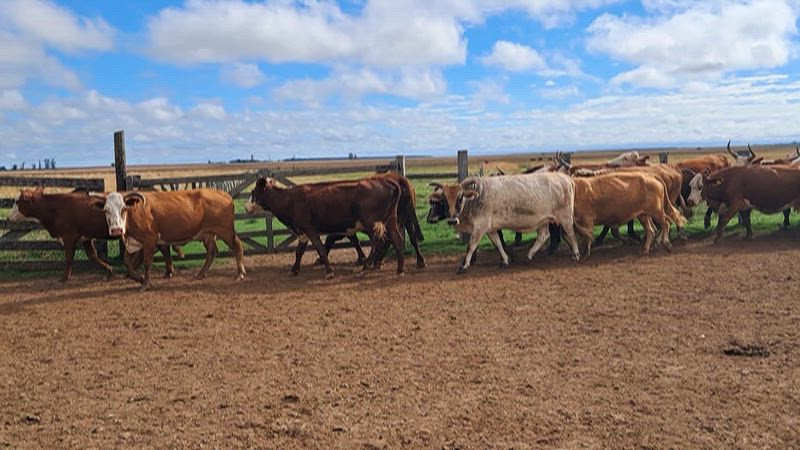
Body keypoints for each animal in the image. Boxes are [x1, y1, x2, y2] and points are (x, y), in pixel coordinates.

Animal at [7, 187, 179, 282]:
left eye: (17, 202)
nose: (8, 217)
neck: (56, 207)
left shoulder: (69, 237)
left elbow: (69, 258)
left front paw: (64, 277)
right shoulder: (85, 237)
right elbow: (92, 256)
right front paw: (109, 270)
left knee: (159, 248)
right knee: (161, 248)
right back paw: (166, 270)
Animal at [89, 189, 246, 291]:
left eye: (123, 209)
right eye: (106, 210)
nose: (116, 230)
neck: (135, 211)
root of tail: (226, 195)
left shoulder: (149, 240)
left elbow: (147, 263)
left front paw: (145, 284)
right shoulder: (135, 242)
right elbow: (127, 262)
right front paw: (138, 278)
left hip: (225, 231)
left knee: (237, 246)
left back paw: (240, 274)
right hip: (207, 235)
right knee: (212, 252)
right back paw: (200, 274)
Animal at [245, 176, 405, 278]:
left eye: (253, 192)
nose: (246, 208)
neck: (290, 200)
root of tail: (386, 181)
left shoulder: (310, 229)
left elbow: (321, 249)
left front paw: (329, 272)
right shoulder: (303, 233)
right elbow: (299, 252)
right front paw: (294, 270)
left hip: (370, 223)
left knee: (378, 242)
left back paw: (365, 268)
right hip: (390, 220)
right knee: (397, 240)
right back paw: (400, 269)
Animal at [426, 173, 581, 273]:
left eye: (460, 198)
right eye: (444, 200)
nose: (452, 220)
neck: (476, 198)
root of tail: (567, 178)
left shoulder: (480, 227)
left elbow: (471, 246)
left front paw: (464, 266)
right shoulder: (490, 229)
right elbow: (498, 243)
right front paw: (505, 260)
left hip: (565, 218)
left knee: (571, 233)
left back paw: (576, 254)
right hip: (544, 219)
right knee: (543, 235)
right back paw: (528, 256)